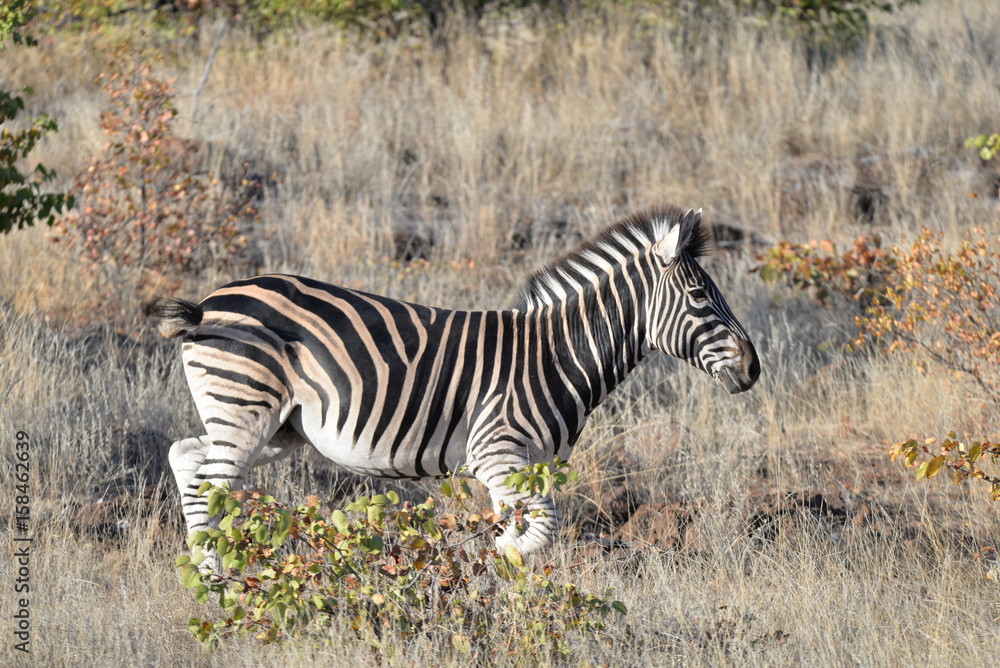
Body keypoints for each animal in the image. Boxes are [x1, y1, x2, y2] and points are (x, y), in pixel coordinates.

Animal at [152, 206, 759, 566]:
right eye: (700, 297)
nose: (754, 369)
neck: (556, 355)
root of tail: (209, 302)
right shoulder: (497, 453)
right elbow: (539, 533)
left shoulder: (523, 465)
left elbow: (524, 532)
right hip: (245, 406)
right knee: (211, 480)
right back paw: (217, 579)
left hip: (274, 428)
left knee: (186, 455)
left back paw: (203, 568)